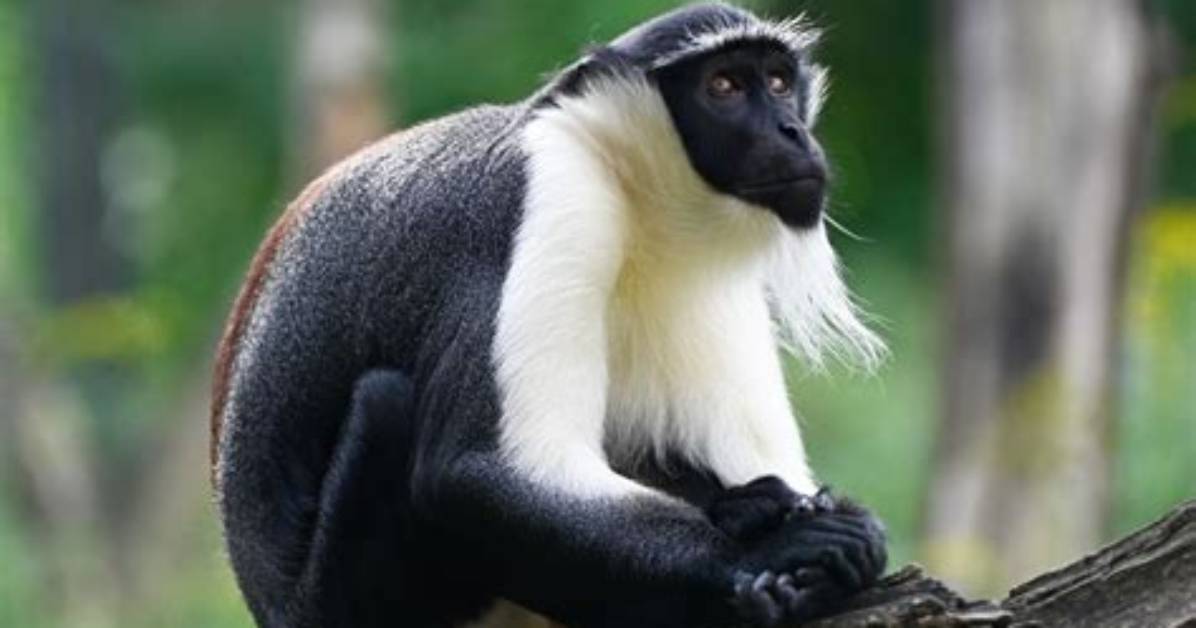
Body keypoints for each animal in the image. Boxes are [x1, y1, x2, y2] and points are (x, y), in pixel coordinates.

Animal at [211, 4, 889, 627]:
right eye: (724, 86)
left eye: (778, 81)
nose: (792, 130)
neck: (633, 191)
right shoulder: (546, 196)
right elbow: (475, 470)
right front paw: (778, 549)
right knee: (386, 401)